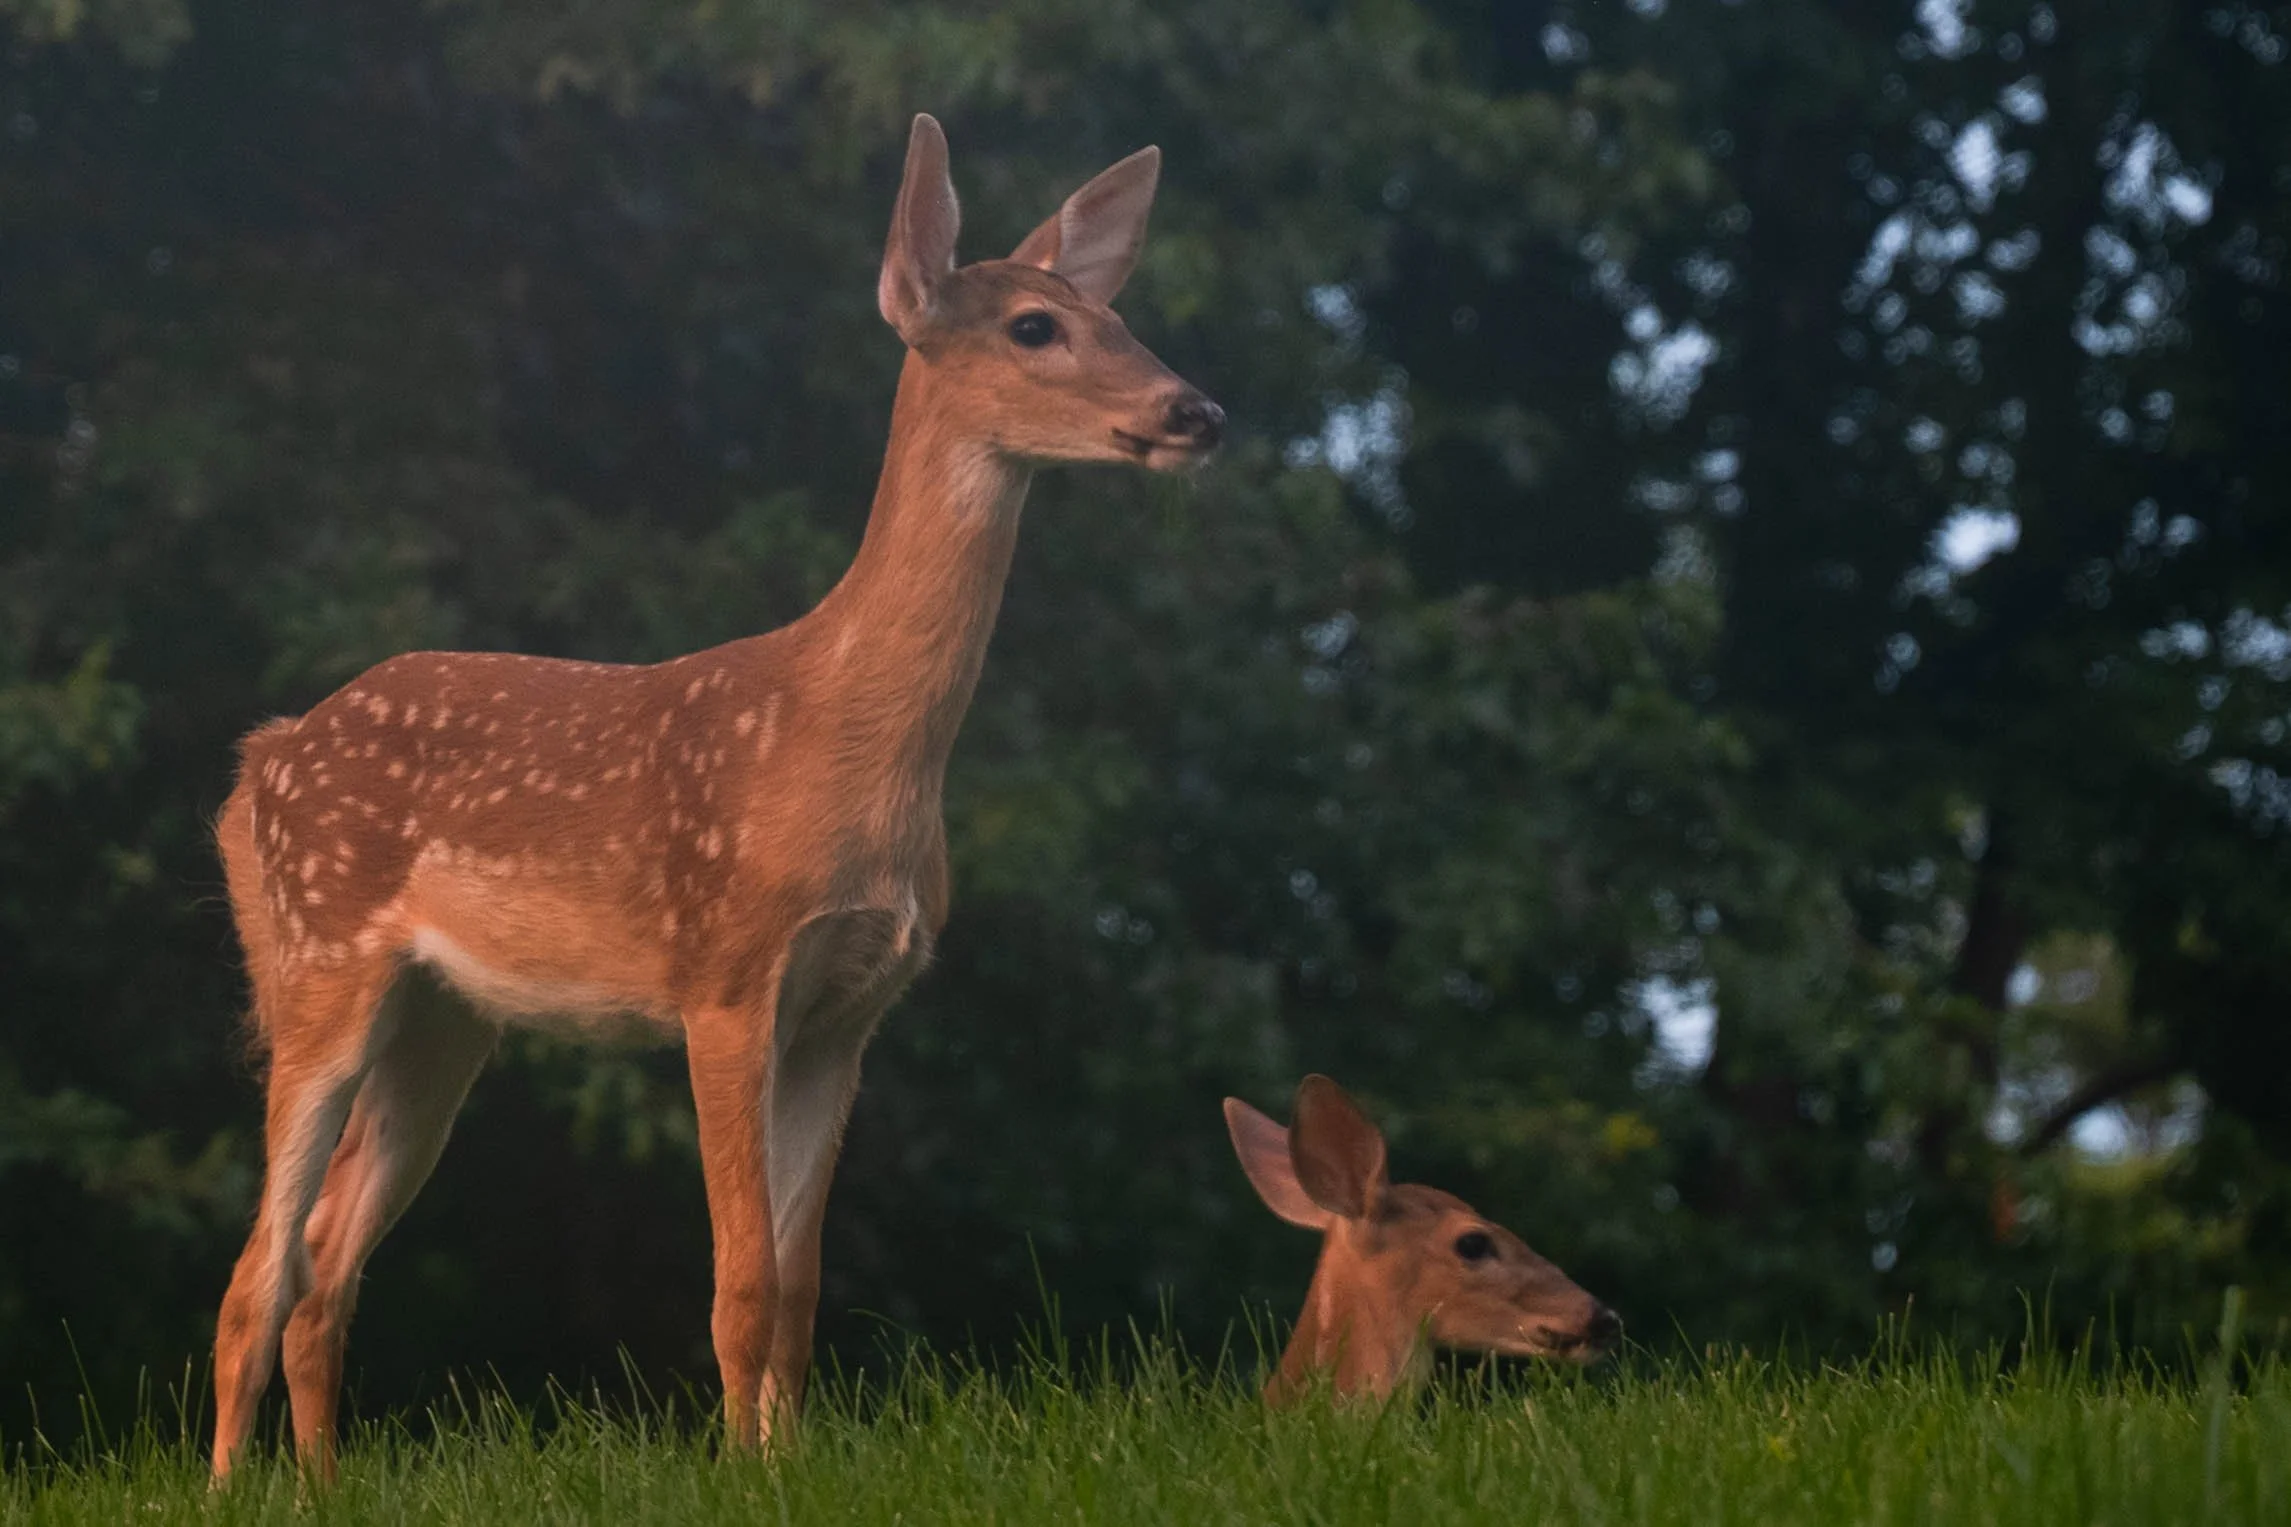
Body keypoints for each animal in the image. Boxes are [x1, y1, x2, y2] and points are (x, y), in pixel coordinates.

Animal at [205, 113, 1223, 1480]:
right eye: (1031, 327)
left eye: (1114, 314)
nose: (1196, 409)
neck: (845, 743)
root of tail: (264, 759)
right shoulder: (727, 973)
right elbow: (738, 1282)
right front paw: (746, 1472)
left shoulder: (849, 1013)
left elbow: (796, 1286)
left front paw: (787, 1460)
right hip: (317, 957)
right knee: (255, 1272)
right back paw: (225, 1491)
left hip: (444, 1018)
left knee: (324, 1262)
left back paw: (322, 1486)